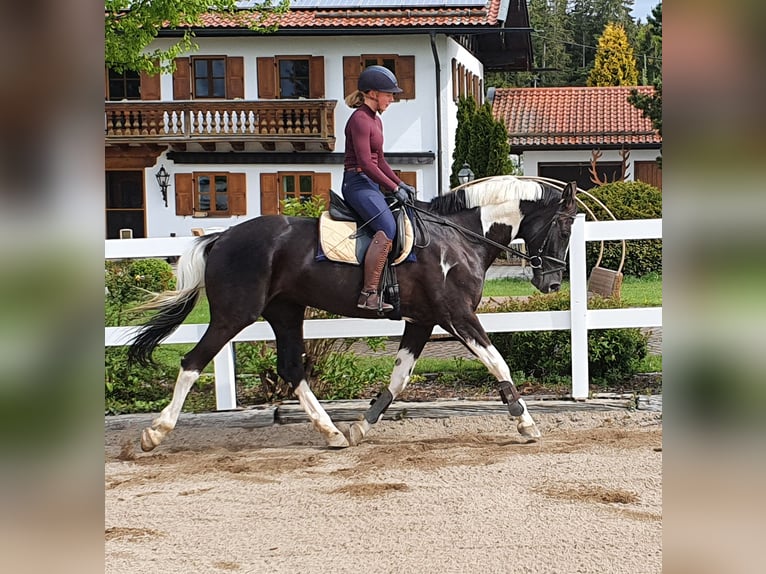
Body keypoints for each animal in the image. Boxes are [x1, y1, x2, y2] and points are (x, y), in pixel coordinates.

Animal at [129, 178, 580, 452]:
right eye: (564, 227)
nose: (552, 283)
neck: (459, 237)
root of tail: (221, 236)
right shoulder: (457, 315)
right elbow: (499, 362)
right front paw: (525, 423)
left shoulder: (422, 321)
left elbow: (399, 378)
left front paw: (362, 426)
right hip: (234, 314)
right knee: (192, 362)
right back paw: (154, 433)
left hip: (285, 312)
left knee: (292, 369)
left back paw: (331, 433)